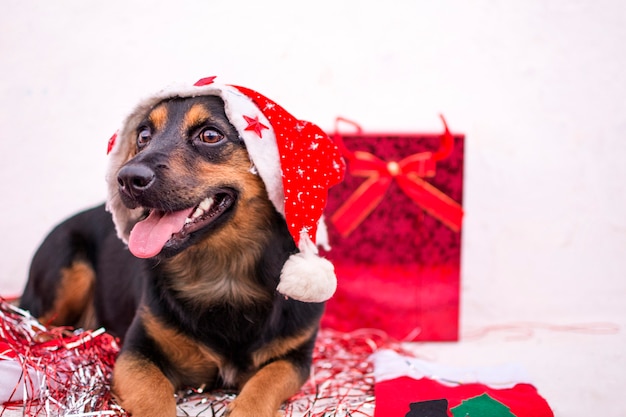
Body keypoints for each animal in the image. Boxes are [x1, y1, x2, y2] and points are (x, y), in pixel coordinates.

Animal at [19, 79, 344, 416]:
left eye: (210, 135)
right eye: (143, 136)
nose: (127, 178)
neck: (224, 274)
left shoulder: (296, 358)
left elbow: (265, 381)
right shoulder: (136, 352)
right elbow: (154, 393)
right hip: (67, 265)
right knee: (33, 323)